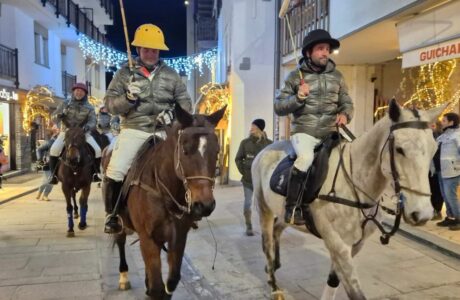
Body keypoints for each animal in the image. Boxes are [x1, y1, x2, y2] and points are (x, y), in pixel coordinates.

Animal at [104, 104, 226, 298]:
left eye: (217, 151)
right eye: (185, 150)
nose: (205, 205)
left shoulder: (178, 238)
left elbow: (170, 283)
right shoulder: (148, 239)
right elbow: (157, 288)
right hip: (120, 222)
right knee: (120, 240)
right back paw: (123, 277)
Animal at [252, 101, 446, 300]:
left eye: (434, 150)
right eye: (399, 149)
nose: (422, 214)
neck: (354, 183)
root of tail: (265, 150)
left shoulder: (355, 245)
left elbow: (333, 280)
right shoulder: (338, 244)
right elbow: (355, 293)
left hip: (284, 214)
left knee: (276, 230)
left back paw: (274, 265)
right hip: (264, 208)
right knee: (266, 243)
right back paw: (274, 286)